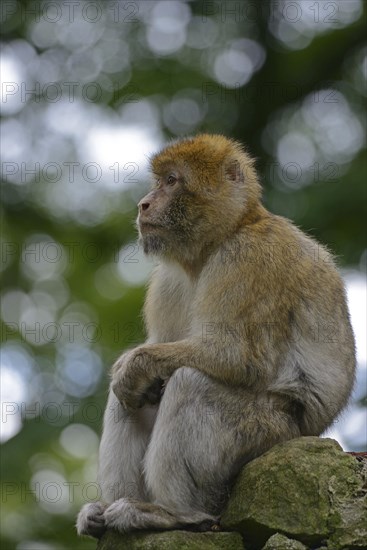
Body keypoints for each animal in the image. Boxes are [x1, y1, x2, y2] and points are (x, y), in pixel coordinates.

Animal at [77, 134, 356, 540]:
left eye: (171, 181)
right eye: (160, 181)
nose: (144, 203)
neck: (224, 237)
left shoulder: (251, 258)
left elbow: (241, 357)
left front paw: (134, 364)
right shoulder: (167, 282)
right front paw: (134, 367)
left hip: (266, 436)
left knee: (191, 382)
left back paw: (174, 513)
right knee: (134, 398)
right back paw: (109, 511)